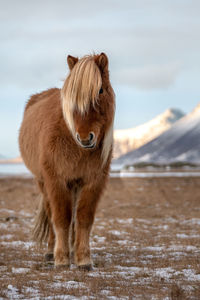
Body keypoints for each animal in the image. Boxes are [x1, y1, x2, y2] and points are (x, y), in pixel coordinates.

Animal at [19, 51, 115, 270]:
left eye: (100, 90)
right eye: (73, 99)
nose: (85, 138)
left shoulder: (92, 181)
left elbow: (83, 218)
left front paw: (83, 259)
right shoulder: (57, 181)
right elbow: (61, 217)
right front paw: (61, 259)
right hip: (43, 182)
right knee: (51, 213)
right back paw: (51, 251)